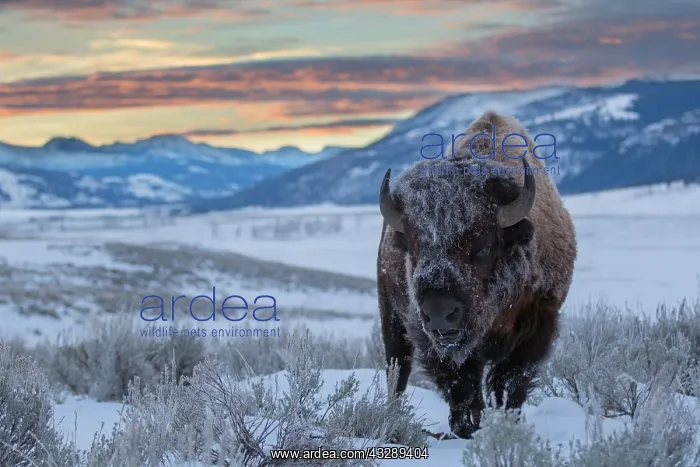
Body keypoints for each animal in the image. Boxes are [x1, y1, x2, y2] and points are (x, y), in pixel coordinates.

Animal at [376, 111, 577, 439]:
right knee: (398, 372)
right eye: (414, 247)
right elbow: (461, 385)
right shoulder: (431, 339)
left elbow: (510, 382)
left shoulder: (538, 326)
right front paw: (466, 427)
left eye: (483, 247)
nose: (440, 314)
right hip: (391, 316)